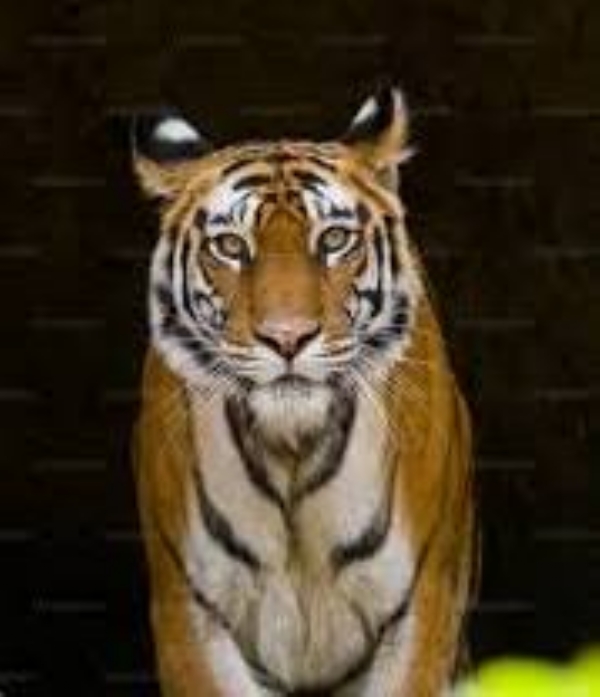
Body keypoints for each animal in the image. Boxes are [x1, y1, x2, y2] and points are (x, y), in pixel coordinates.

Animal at [132, 87, 476, 697]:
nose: (286, 338)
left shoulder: (421, 607)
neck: (290, 448)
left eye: (334, 239)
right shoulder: (190, 612)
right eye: (230, 246)